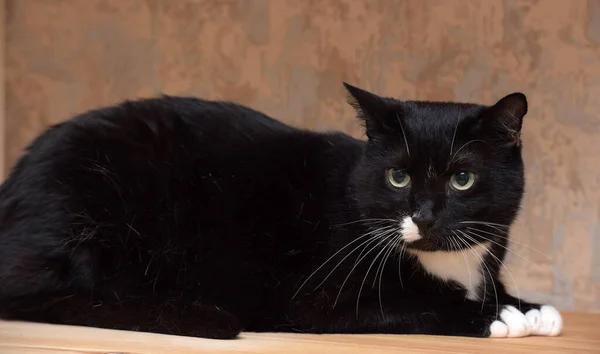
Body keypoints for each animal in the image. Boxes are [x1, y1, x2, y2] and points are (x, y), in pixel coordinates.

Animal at [0, 83, 564, 340]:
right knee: (39, 296)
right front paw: (494, 315)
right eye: (397, 177)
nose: (424, 216)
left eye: (461, 179)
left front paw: (530, 307)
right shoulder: (313, 299)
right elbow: (415, 305)